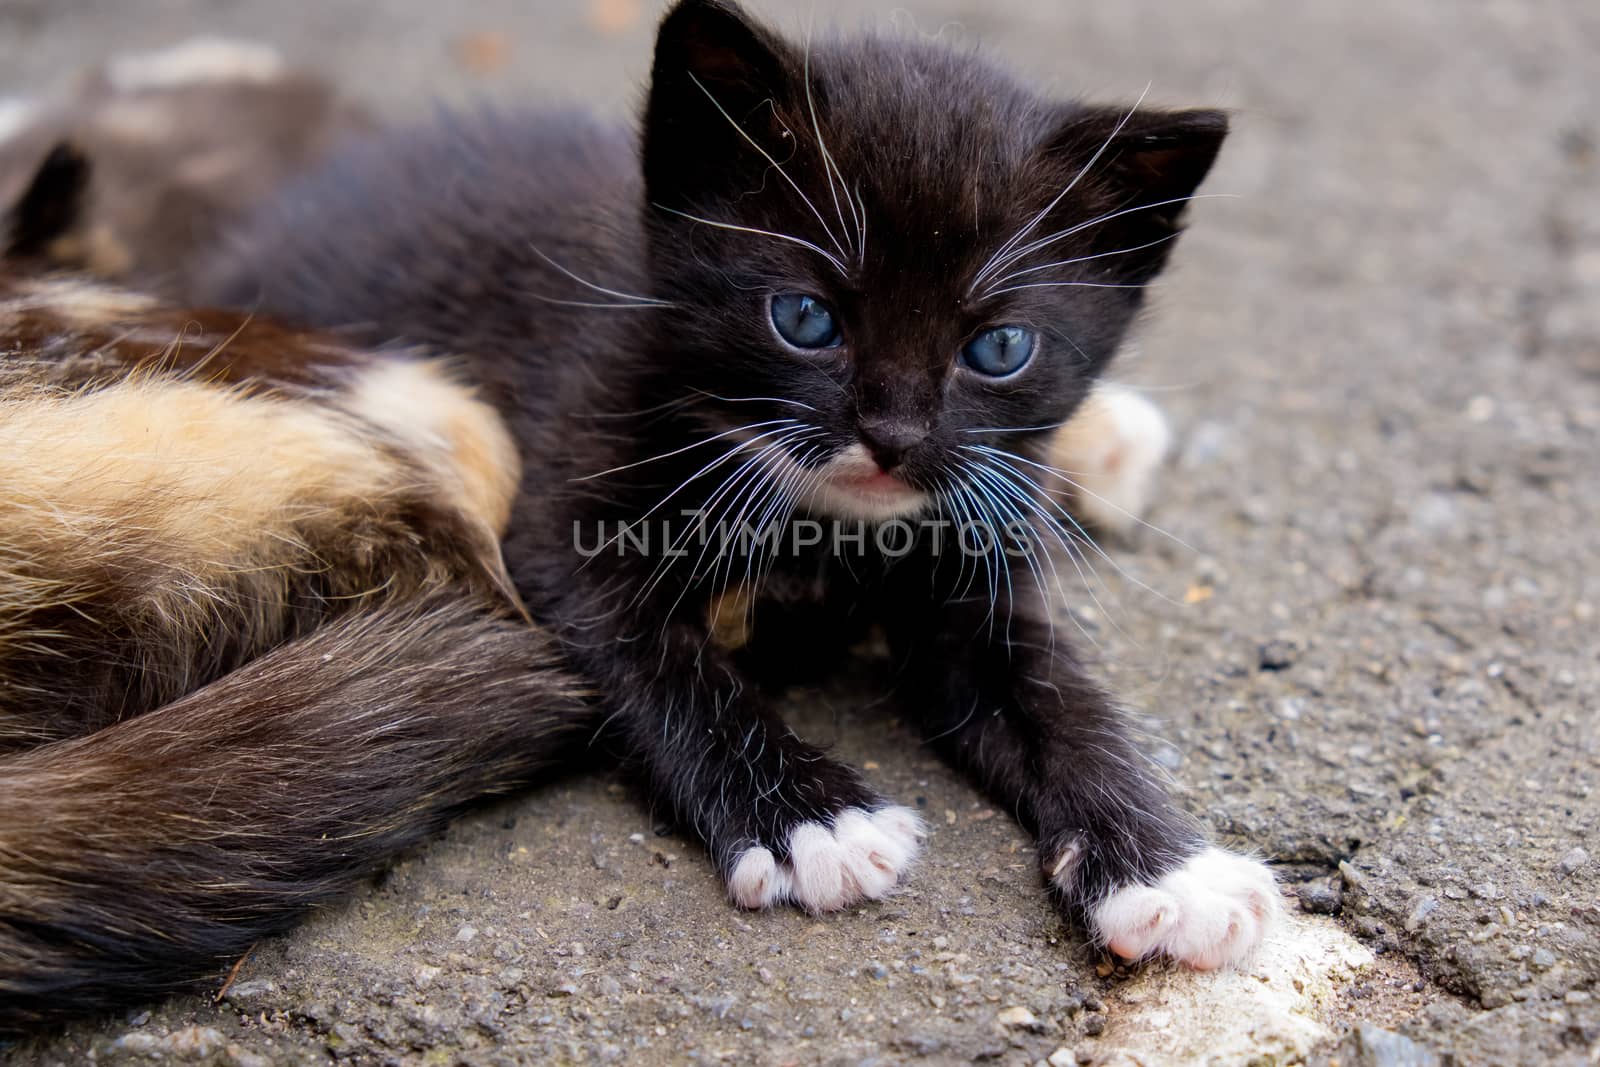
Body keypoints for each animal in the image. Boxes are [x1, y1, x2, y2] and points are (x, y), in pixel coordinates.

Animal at [203, 0, 1273, 966]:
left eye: (1000, 347)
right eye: (804, 318)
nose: (891, 437)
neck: (832, 529)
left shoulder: (976, 556)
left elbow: (1060, 696)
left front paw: (1171, 871)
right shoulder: (560, 510)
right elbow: (660, 664)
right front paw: (816, 823)